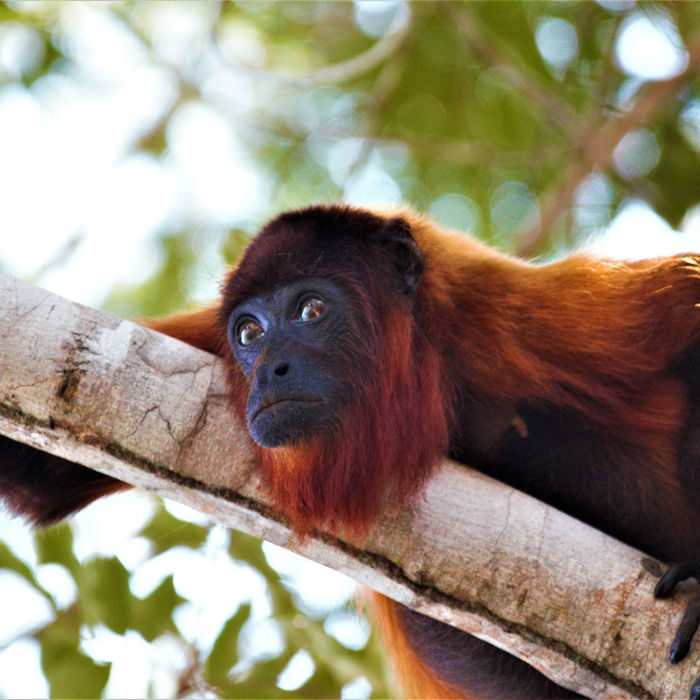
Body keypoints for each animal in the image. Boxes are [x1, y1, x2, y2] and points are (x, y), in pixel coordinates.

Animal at [0, 204, 698, 698]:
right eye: (248, 332)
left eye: (311, 309)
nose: (269, 371)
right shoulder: (205, 347)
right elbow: (40, 473)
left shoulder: (515, 311)